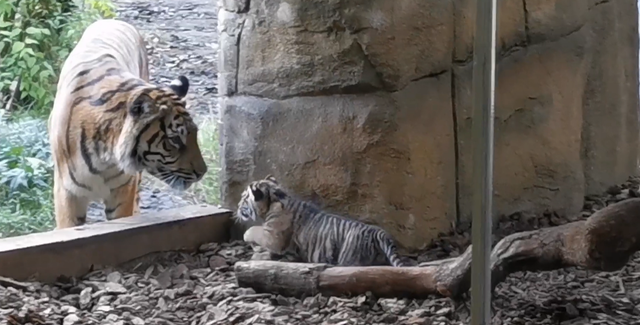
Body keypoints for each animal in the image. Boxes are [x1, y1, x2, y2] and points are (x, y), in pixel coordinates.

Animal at [48, 19, 208, 228]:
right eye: (174, 140)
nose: (202, 172)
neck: (104, 157)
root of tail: (113, 20)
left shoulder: (123, 188)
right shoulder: (67, 193)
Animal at [234, 175, 404, 266]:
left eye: (243, 198)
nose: (237, 205)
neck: (275, 198)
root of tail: (377, 231)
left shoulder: (272, 236)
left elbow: (254, 230)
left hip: (349, 258)